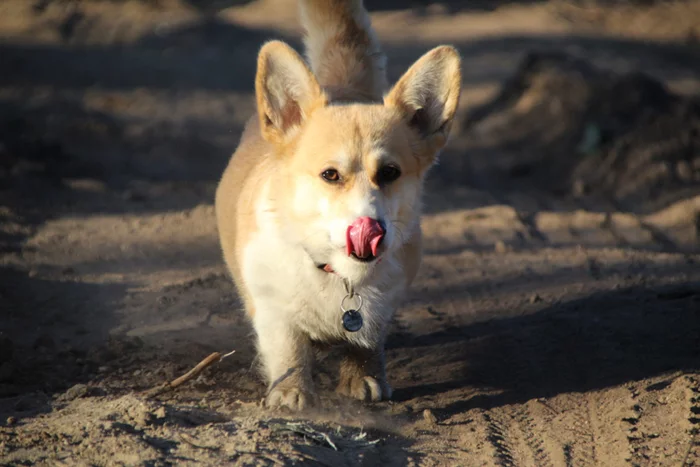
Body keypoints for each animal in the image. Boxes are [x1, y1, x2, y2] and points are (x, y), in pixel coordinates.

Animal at [216, 0, 462, 410]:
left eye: (390, 173)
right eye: (330, 175)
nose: (370, 228)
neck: (338, 273)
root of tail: (341, 84)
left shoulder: (381, 307)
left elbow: (367, 341)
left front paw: (363, 379)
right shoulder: (272, 310)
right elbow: (289, 350)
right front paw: (291, 392)